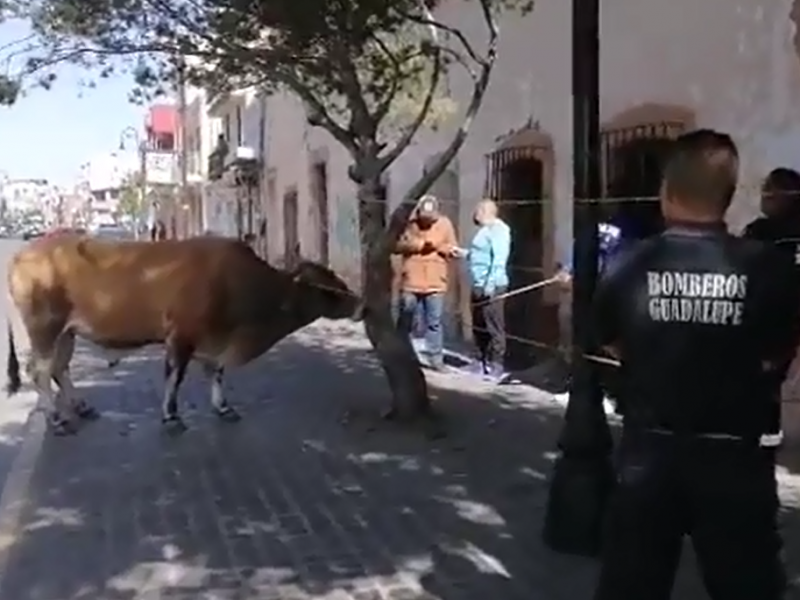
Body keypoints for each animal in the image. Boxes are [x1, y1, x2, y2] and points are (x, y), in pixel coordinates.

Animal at [5, 234, 362, 436]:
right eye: (326, 288)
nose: (361, 304)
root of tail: (23, 254)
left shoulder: (214, 339)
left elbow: (216, 372)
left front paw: (223, 407)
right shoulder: (181, 336)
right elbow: (175, 377)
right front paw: (171, 416)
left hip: (67, 333)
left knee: (58, 367)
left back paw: (80, 407)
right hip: (44, 327)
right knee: (39, 370)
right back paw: (56, 419)